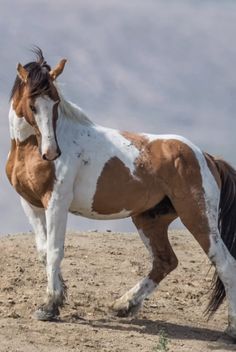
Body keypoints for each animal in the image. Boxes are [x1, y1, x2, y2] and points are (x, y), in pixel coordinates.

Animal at [6, 47, 236, 338]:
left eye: (56, 102)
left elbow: (55, 250)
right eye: (32, 104)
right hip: (149, 219)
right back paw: (124, 305)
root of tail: (206, 156)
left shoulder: (56, 202)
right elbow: (44, 250)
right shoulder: (30, 203)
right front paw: (59, 297)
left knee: (225, 263)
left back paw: (232, 328)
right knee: (165, 261)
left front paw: (49, 307)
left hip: (197, 216)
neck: (28, 149)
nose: (52, 153)